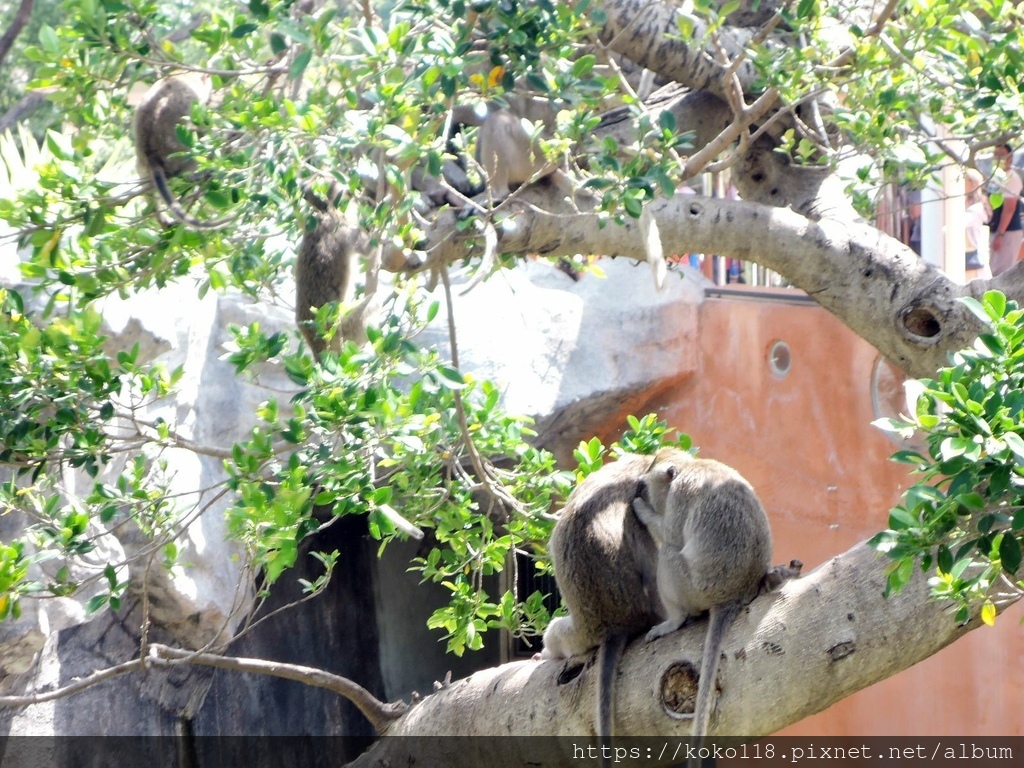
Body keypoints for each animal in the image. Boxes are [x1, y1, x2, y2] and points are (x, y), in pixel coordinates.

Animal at [626, 448, 770, 765]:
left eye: (648, 484)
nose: (641, 489)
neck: (691, 466)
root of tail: (733, 596)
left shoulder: (679, 495)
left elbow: (671, 536)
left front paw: (641, 509)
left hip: (694, 589)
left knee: (669, 553)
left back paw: (676, 620)